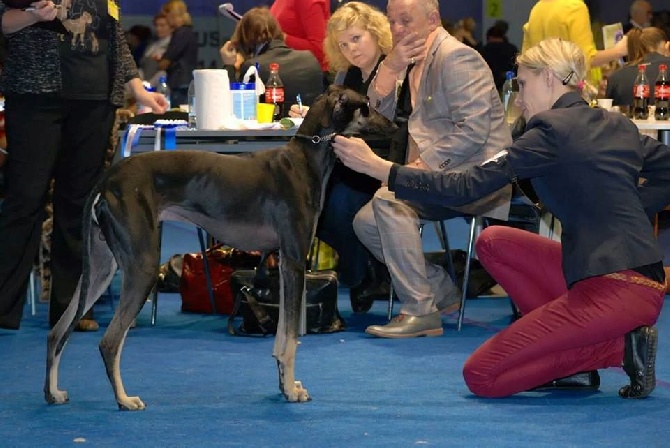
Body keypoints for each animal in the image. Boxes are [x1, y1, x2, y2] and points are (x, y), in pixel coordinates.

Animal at [44, 84, 400, 410]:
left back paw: (53, 393)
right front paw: (291, 390)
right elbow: (291, 337)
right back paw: (123, 399)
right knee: (108, 342)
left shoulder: (285, 262)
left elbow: (281, 336)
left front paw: (284, 384)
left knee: (57, 331)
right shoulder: (295, 259)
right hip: (141, 266)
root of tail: (107, 179)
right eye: (366, 105)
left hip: (102, 266)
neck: (302, 161)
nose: (395, 125)